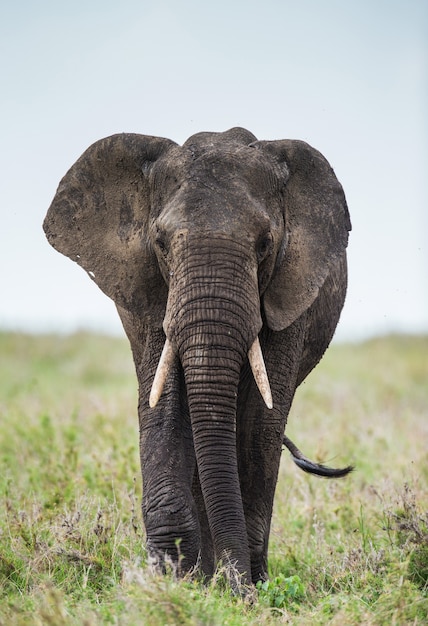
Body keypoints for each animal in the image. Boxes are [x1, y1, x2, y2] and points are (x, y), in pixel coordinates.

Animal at [43, 124, 352, 588]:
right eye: (160, 242)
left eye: (265, 244)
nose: (239, 587)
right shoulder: (152, 292)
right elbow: (165, 404)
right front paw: (173, 577)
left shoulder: (291, 296)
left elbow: (261, 420)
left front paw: (240, 583)